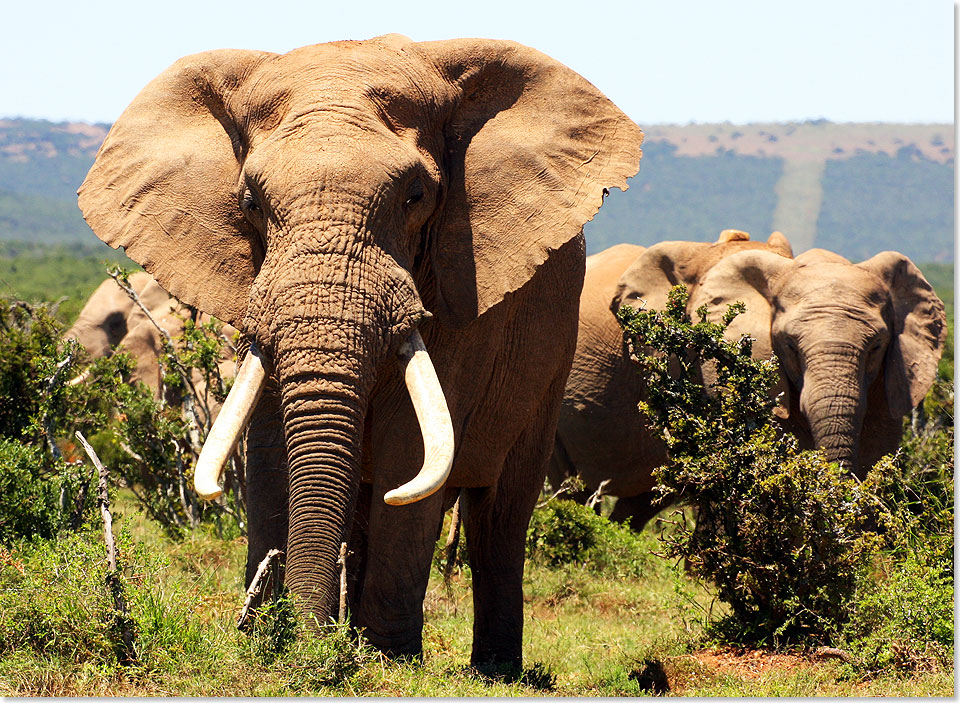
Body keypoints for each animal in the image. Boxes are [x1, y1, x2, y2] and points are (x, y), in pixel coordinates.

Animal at [77, 35, 644, 668]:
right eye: (250, 203)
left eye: (417, 196)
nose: (309, 640)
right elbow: (270, 445)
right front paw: (272, 640)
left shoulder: (460, 289)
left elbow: (409, 449)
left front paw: (388, 661)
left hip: (553, 362)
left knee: (498, 511)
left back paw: (493, 668)